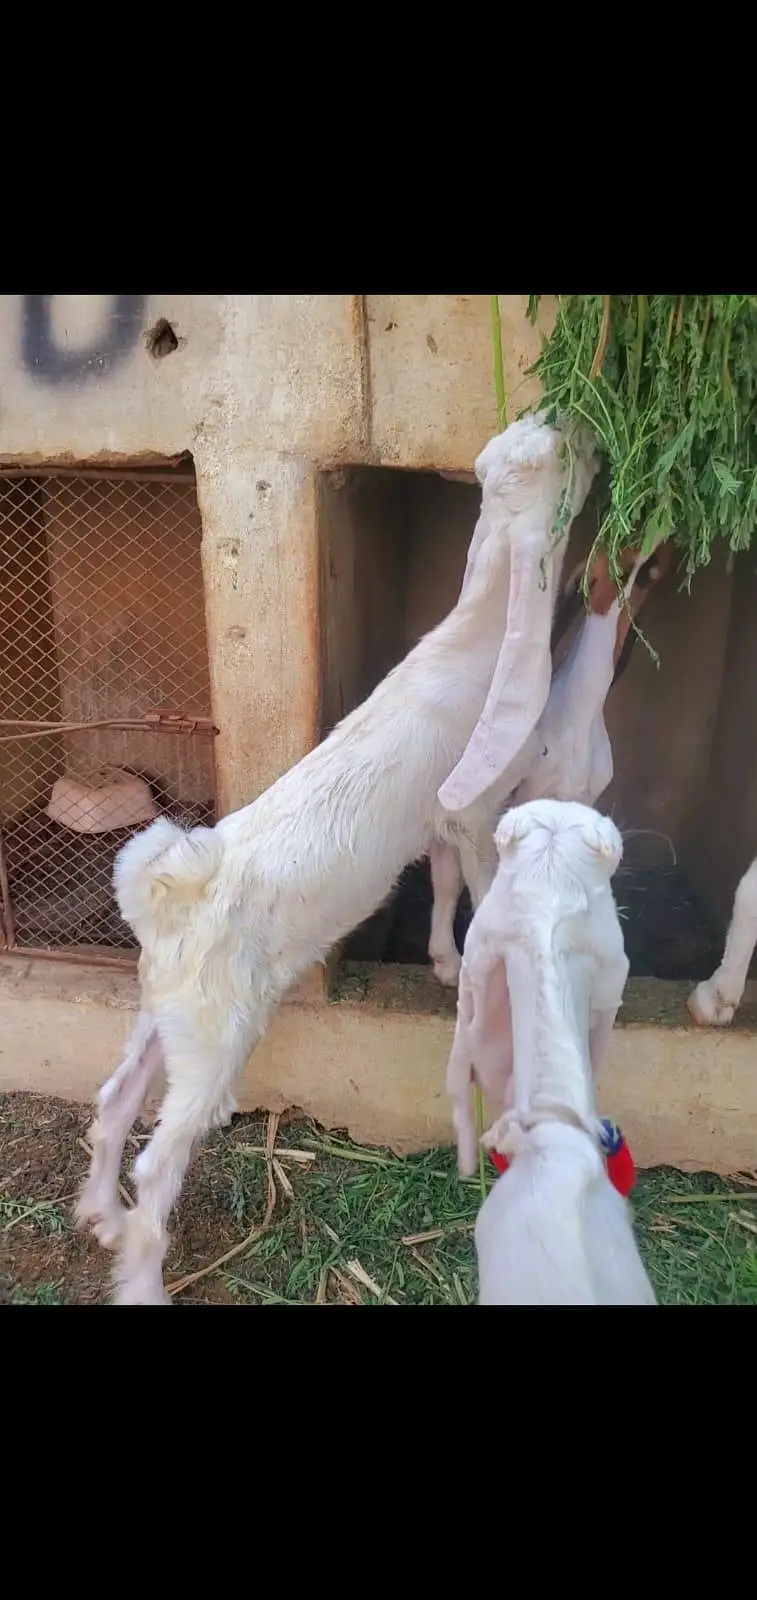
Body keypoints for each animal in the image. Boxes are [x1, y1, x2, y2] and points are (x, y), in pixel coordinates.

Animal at [76, 414, 598, 1305]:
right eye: (549, 458)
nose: (577, 422)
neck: (471, 646)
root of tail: (170, 896)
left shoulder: (434, 823)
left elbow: (443, 886)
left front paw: (441, 962)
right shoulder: (473, 806)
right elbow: (480, 883)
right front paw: (470, 966)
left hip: (165, 1013)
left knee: (112, 1102)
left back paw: (100, 1217)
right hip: (215, 1039)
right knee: (155, 1162)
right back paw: (140, 1274)